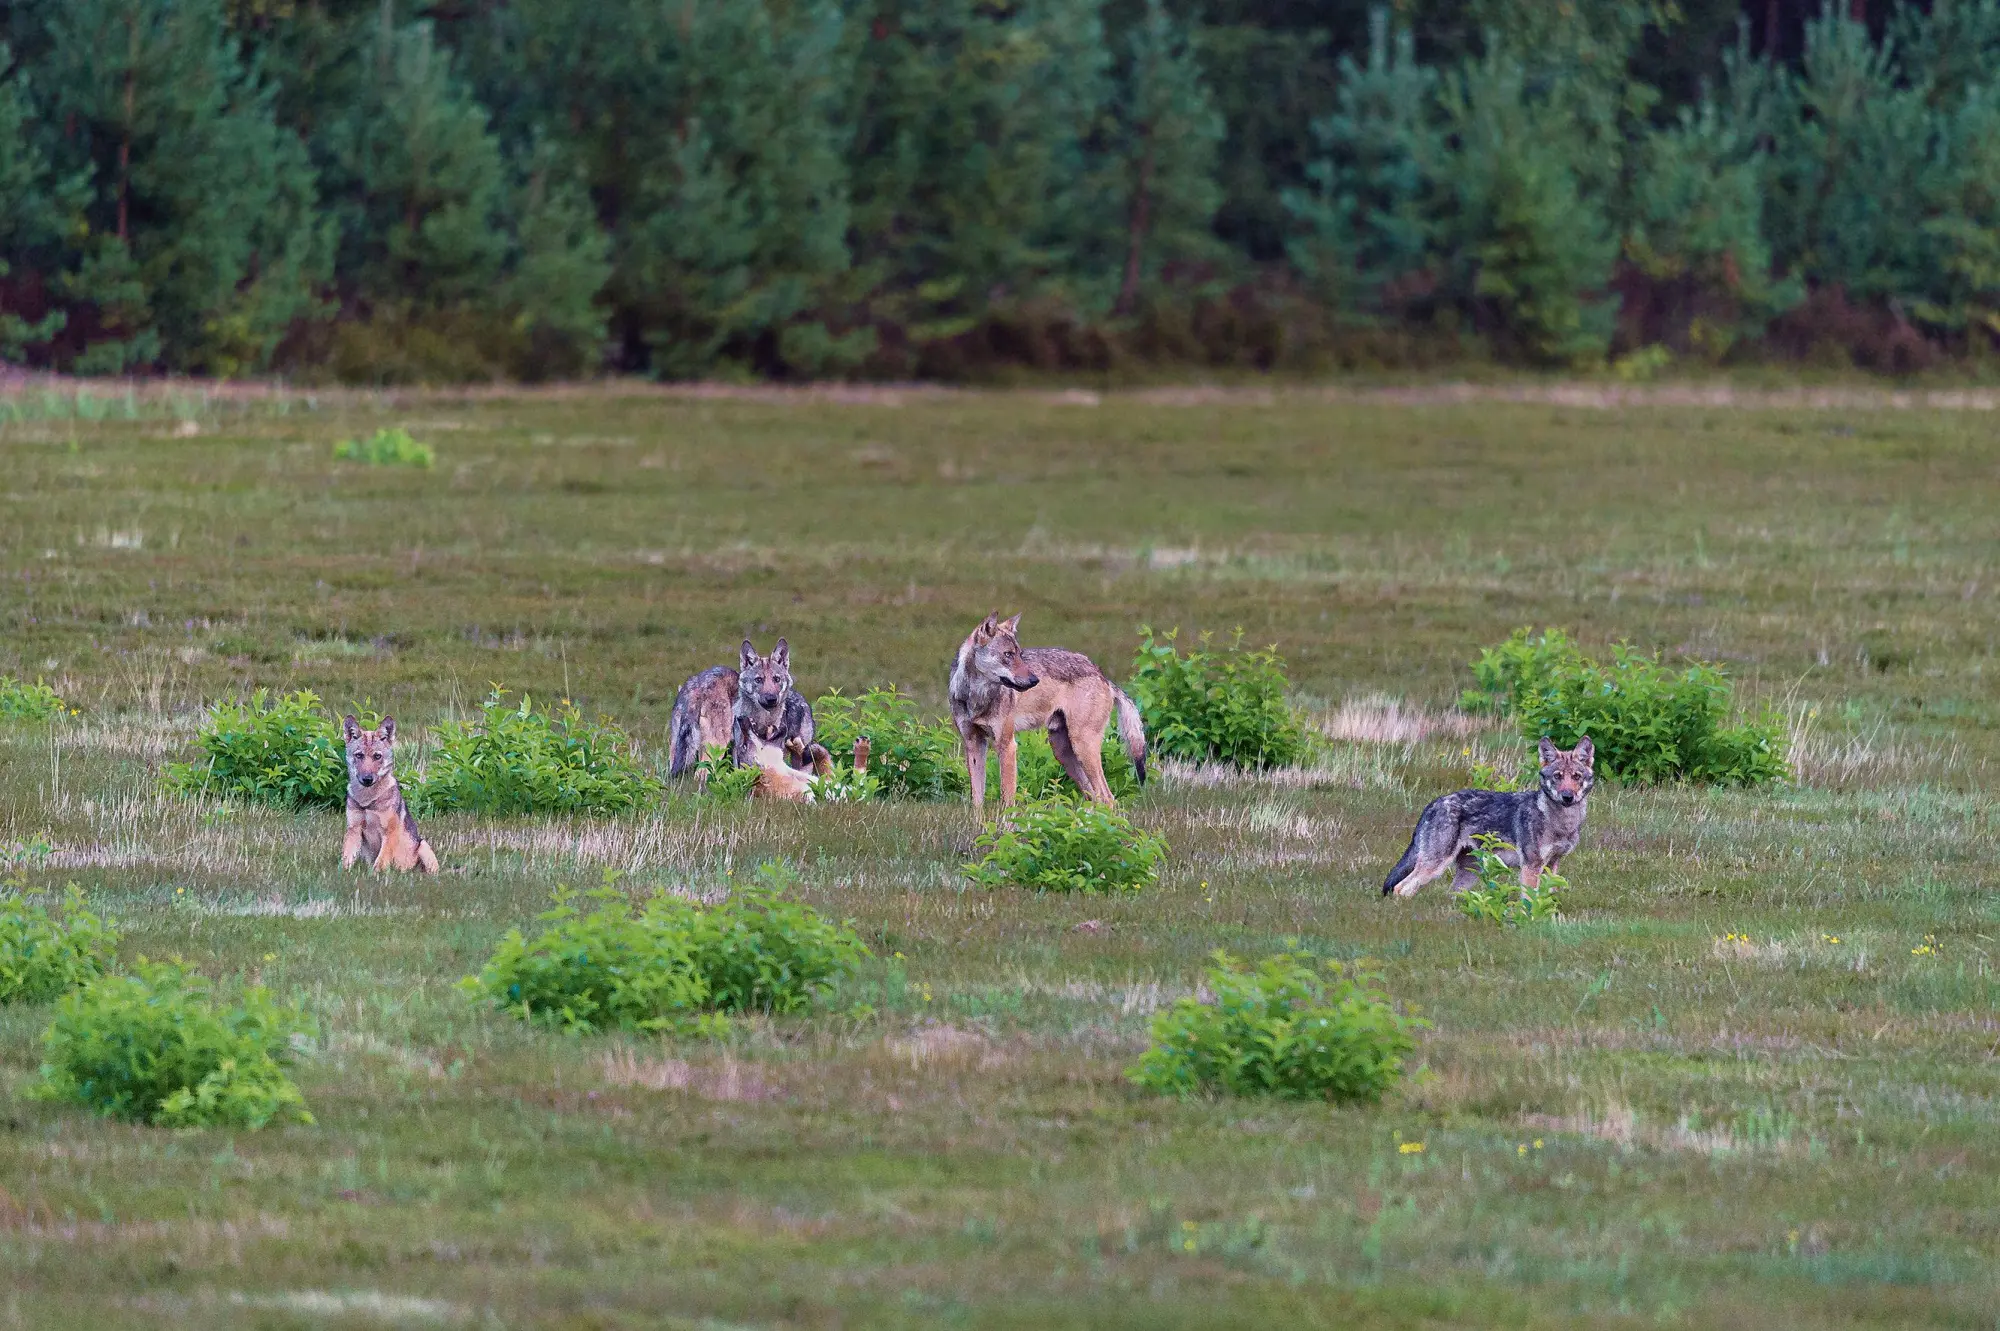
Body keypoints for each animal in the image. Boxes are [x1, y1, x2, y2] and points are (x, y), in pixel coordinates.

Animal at [341, 715, 439, 874]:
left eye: (377, 756)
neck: (367, 801)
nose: (367, 779)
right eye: (359, 755)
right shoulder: (354, 830)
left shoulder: (389, 833)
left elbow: (380, 862)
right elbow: (346, 859)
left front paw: (375, 875)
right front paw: (342, 874)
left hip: (423, 846)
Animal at [667, 637, 814, 777]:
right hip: (716, 748)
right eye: (758, 680)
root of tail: (696, 684)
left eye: (776, 679)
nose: (771, 699)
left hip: (677, 748)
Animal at [948, 612, 1148, 815]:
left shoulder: (1007, 745)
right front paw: (979, 822)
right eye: (1008, 654)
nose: (1034, 680)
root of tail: (1103, 676)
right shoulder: (973, 744)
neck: (975, 696)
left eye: (1019, 654)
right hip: (1063, 752)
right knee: (1094, 796)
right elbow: (977, 801)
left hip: (1082, 747)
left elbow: (1007, 800)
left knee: (1108, 798)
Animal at [1381, 736, 1594, 897]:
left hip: (1468, 875)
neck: (1562, 823)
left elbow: (1547, 897)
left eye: (1576, 776)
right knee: (1401, 888)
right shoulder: (1531, 866)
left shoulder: (1552, 864)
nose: (1567, 796)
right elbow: (1529, 901)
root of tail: (1434, 802)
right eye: (1557, 776)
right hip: (1435, 867)